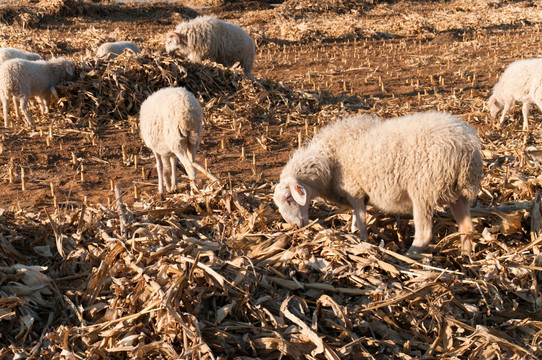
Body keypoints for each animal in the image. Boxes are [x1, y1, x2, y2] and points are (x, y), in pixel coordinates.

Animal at [276, 111, 484, 255]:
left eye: (289, 198)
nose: (295, 227)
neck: (328, 159)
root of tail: (468, 148)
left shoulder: (355, 191)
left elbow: (361, 222)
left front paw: (363, 242)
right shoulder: (359, 195)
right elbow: (356, 219)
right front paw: (354, 234)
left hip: (424, 190)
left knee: (424, 234)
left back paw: (409, 256)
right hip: (457, 193)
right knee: (467, 227)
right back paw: (466, 256)